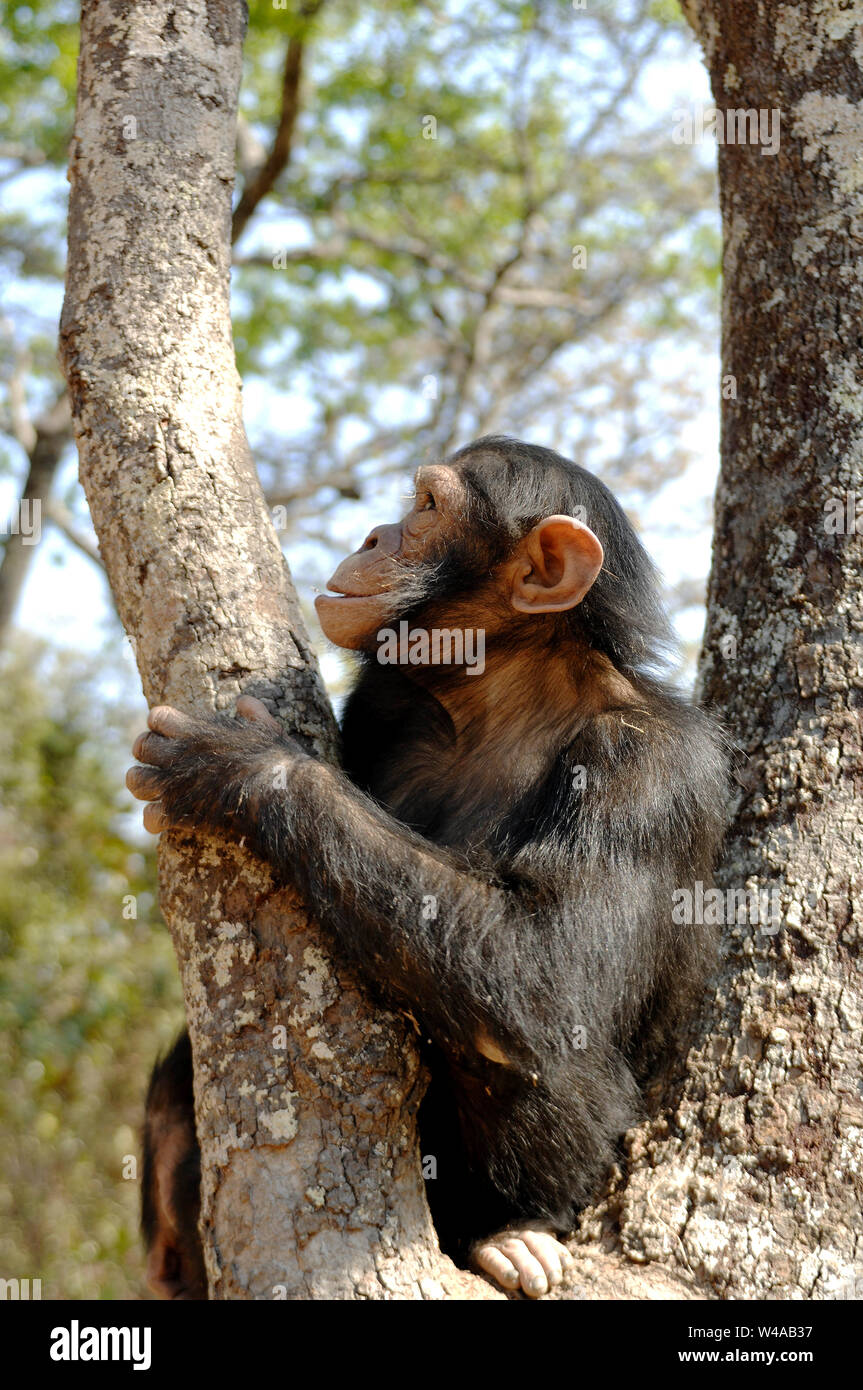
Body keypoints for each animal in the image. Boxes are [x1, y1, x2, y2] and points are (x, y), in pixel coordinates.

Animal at [129, 430, 728, 1289]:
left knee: (531, 1031)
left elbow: (547, 967)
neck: (505, 694)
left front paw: (246, 770)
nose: (375, 535)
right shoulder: (382, 701)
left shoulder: (648, 770)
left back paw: (509, 1230)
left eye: (426, 507)